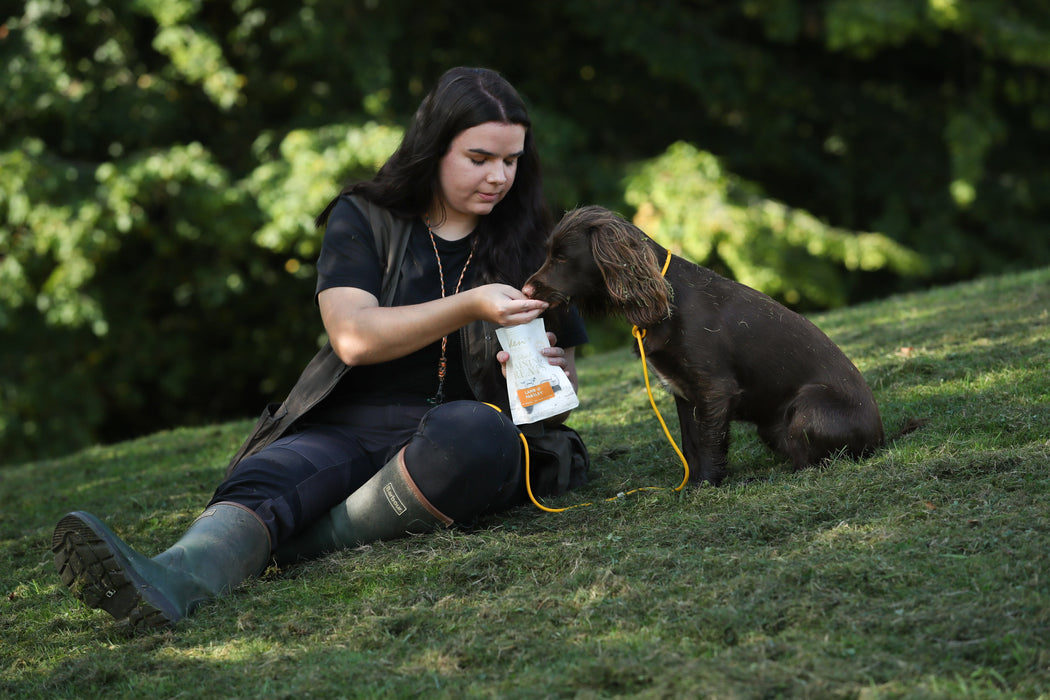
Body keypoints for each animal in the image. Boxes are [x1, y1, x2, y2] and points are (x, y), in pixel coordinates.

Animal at [525, 205, 886, 484]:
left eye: (562, 258)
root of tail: (882, 438)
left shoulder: (715, 390)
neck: (666, 300)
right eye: (549, 253)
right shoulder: (685, 394)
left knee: (810, 463)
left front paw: (707, 485)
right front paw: (692, 484)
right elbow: (691, 446)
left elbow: (710, 443)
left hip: (808, 407)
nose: (526, 290)